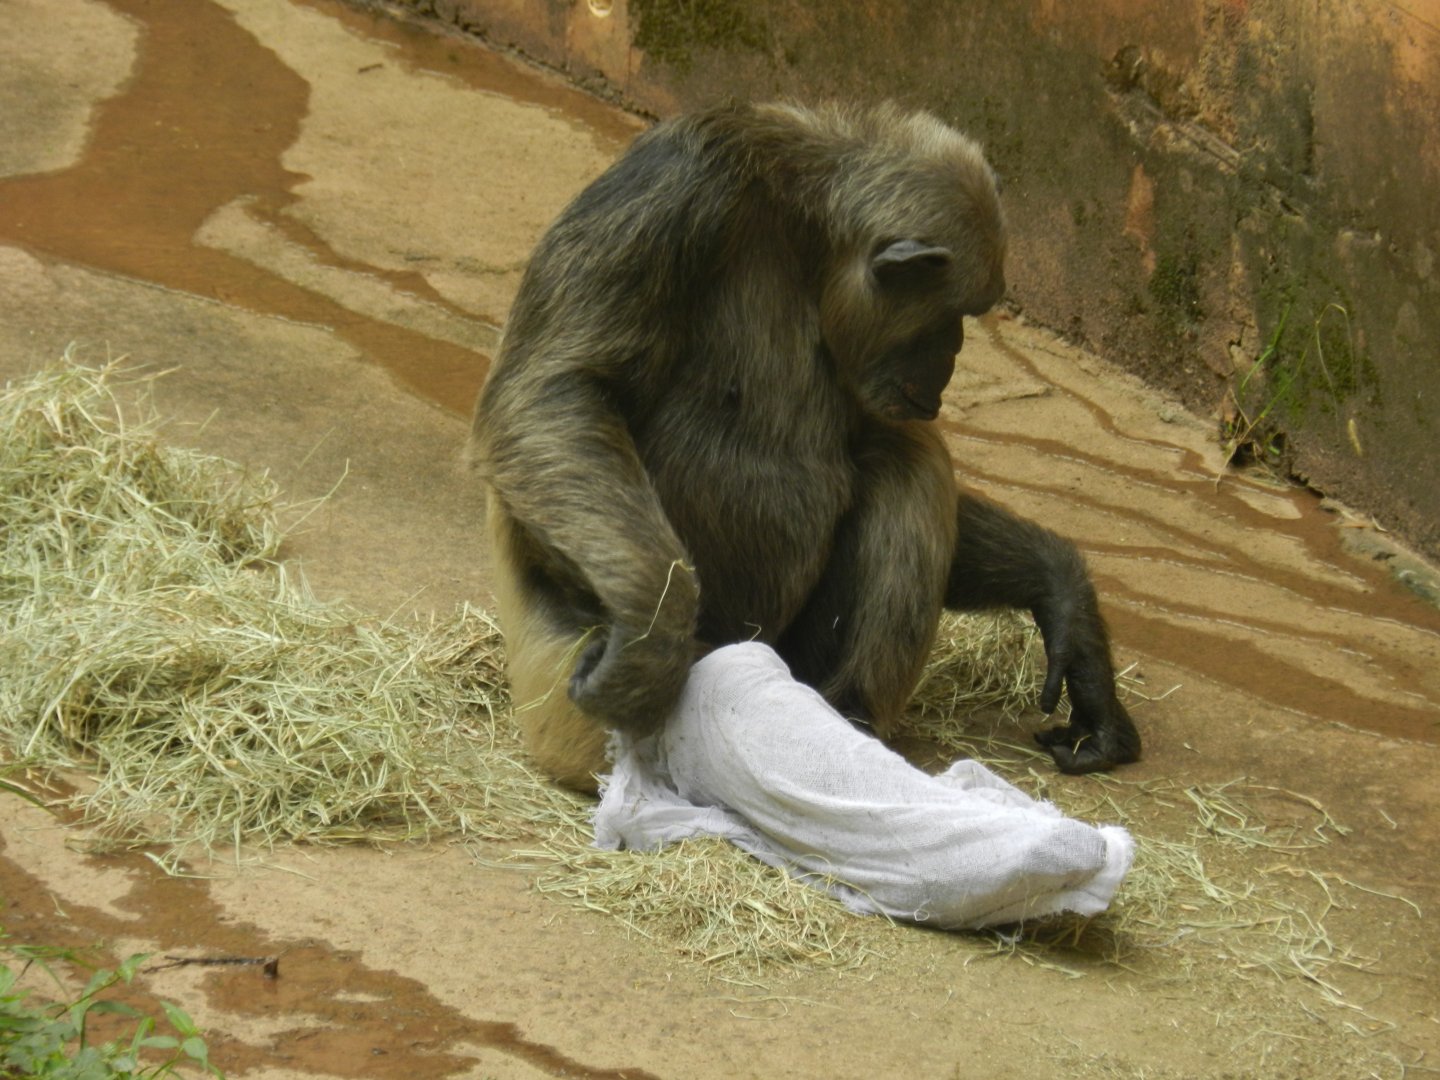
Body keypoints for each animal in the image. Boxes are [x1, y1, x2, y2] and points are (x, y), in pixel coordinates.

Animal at [473, 101, 1141, 793]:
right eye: (954, 313)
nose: (954, 352)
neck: (808, 232)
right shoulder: (668, 195)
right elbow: (557, 391)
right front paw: (649, 642)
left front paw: (1067, 606)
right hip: (564, 712)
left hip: (790, 664)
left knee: (904, 457)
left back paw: (848, 724)